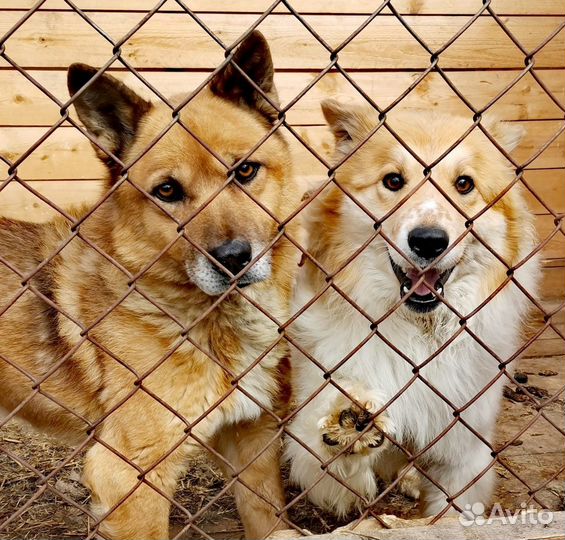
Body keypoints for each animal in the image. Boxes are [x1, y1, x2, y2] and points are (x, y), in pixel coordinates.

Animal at [0, 30, 302, 540]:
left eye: (244, 171)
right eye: (167, 192)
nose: (234, 259)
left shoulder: (251, 444)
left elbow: (269, 519)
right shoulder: (127, 478)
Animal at [286, 101, 536, 520]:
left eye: (464, 184)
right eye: (392, 181)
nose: (428, 242)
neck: (419, 335)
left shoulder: (463, 460)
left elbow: (447, 516)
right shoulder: (314, 458)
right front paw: (350, 421)